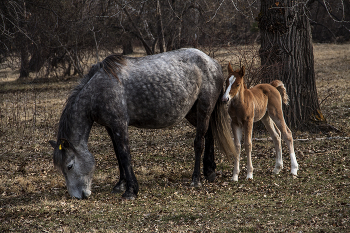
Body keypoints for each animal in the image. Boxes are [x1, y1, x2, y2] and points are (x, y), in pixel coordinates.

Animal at [49, 48, 237, 199]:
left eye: (69, 166)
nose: (78, 196)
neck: (97, 91)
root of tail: (212, 62)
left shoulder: (119, 125)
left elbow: (124, 155)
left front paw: (131, 190)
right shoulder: (110, 127)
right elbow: (118, 154)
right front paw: (120, 185)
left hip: (204, 108)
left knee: (199, 142)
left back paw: (196, 179)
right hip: (194, 113)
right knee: (209, 135)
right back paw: (210, 171)